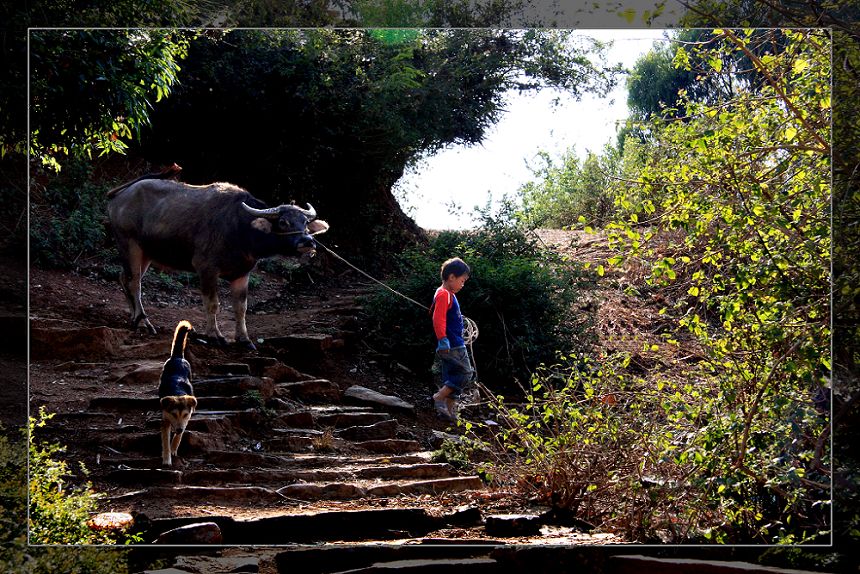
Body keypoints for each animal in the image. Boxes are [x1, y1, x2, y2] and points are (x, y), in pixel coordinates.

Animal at [104, 164, 326, 348]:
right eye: (283, 222)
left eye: (305, 222)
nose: (308, 241)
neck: (240, 229)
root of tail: (121, 196)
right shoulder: (206, 269)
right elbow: (212, 304)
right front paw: (215, 336)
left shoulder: (242, 274)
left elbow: (241, 307)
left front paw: (244, 340)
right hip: (129, 244)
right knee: (135, 283)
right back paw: (144, 322)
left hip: (147, 253)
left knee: (125, 278)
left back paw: (134, 318)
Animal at [158, 322, 197, 466]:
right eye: (174, 414)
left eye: (185, 414)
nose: (179, 429)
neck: (177, 392)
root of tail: (178, 357)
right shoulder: (165, 420)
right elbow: (165, 440)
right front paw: (167, 458)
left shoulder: (186, 419)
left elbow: (178, 436)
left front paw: (174, 448)